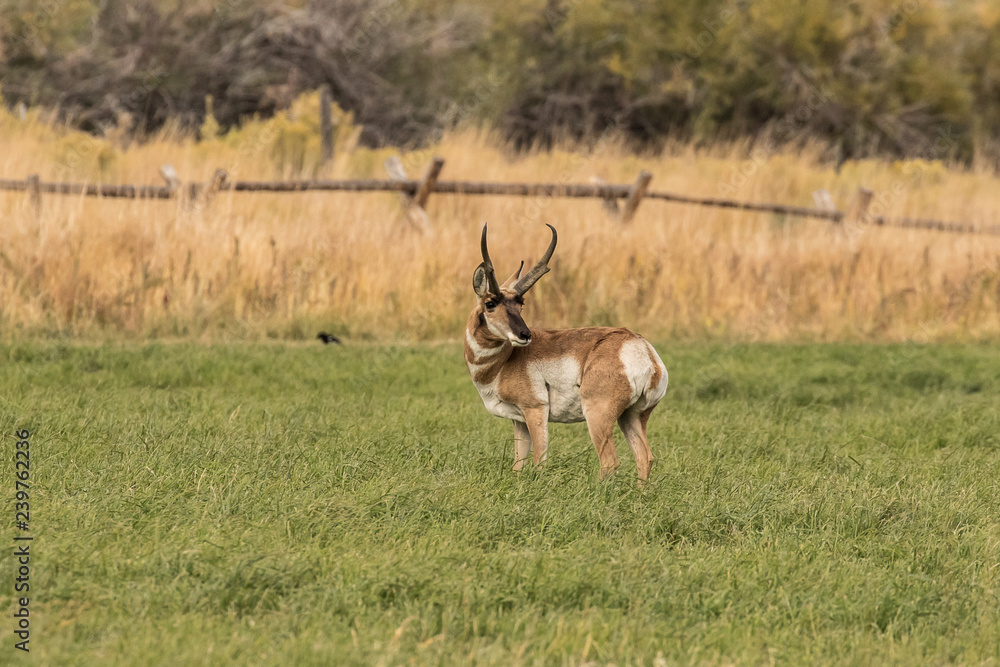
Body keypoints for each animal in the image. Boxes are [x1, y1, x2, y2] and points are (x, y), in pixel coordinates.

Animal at [465, 223, 668, 481]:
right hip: (631, 416)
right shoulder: (518, 421)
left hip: (598, 415)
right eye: (490, 304)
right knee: (645, 457)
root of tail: (641, 348)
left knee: (610, 462)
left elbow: (539, 461)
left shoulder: (535, 411)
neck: (503, 362)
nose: (525, 335)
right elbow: (518, 465)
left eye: (520, 303)